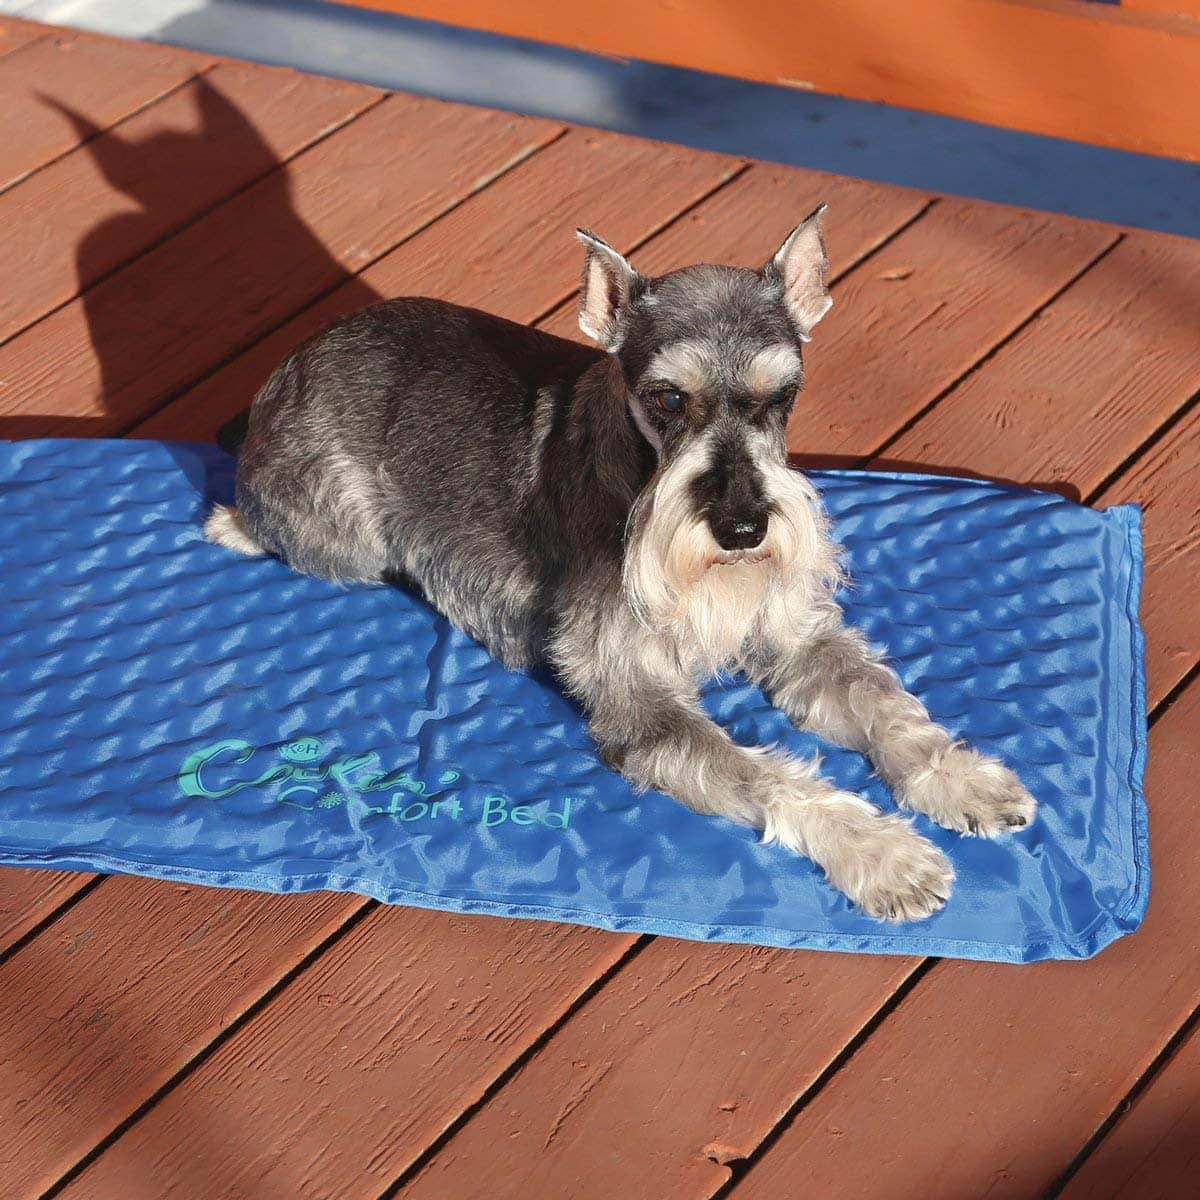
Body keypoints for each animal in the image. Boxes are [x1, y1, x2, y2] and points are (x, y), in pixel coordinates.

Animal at [204, 208, 1032, 916]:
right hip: (343, 538)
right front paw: (884, 853)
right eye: (667, 398)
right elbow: (767, 774)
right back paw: (233, 522)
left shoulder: (797, 638)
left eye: (783, 396)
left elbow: (883, 704)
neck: (638, 473)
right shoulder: (641, 701)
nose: (742, 528)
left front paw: (961, 779)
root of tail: (295, 362)